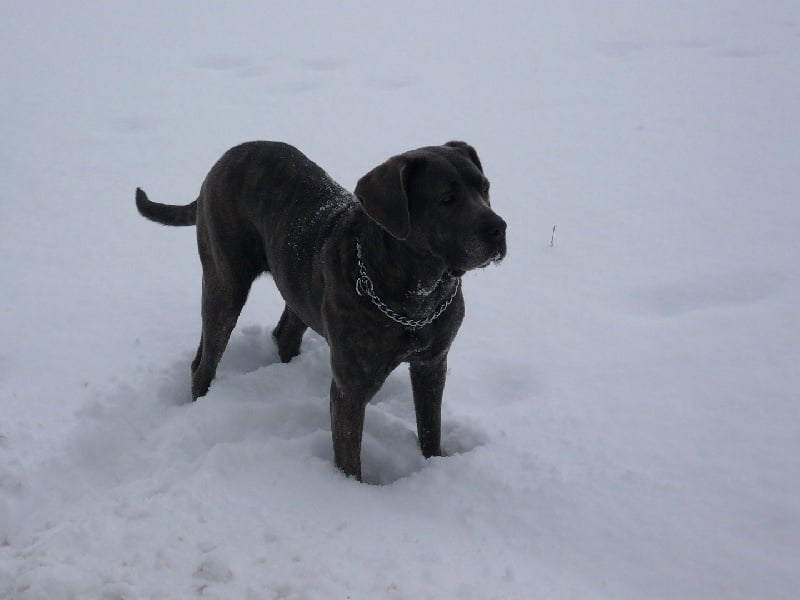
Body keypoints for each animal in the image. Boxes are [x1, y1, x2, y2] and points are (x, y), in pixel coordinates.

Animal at [136, 141, 506, 480]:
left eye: (485, 187)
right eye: (446, 199)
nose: (499, 228)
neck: (416, 294)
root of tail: (224, 158)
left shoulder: (432, 364)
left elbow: (430, 429)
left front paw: (435, 466)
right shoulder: (351, 388)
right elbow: (349, 457)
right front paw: (350, 491)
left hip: (296, 285)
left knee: (283, 333)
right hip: (225, 285)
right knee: (205, 361)